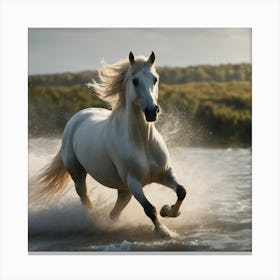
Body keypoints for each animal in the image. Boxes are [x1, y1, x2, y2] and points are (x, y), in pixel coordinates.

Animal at [37, 51, 186, 237]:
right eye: (135, 81)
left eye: (155, 79)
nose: (152, 111)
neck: (142, 142)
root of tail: (78, 116)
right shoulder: (133, 181)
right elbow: (149, 209)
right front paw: (164, 231)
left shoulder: (164, 173)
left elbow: (181, 191)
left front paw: (169, 210)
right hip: (78, 174)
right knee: (84, 197)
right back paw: (92, 221)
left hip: (124, 188)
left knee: (116, 209)